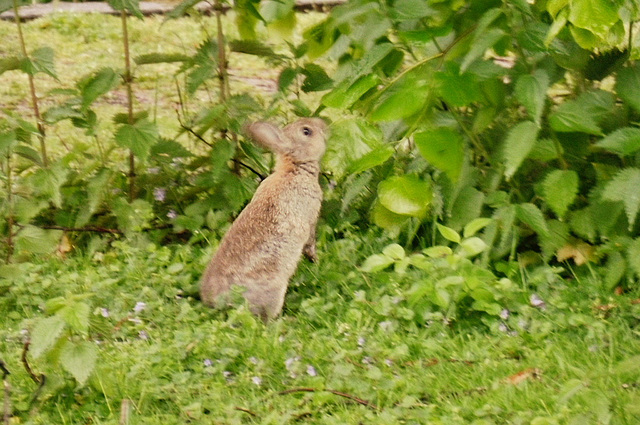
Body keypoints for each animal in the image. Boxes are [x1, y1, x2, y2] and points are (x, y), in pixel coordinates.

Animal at [200, 117, 328, 322]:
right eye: (307, 131)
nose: (324, 125)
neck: (294, 167)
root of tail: (217, 300)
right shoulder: (309, 218)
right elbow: (310, 242)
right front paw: (315, 259)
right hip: (273, 290)